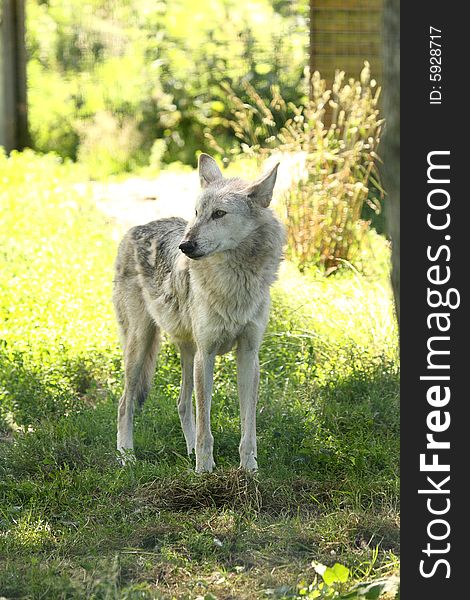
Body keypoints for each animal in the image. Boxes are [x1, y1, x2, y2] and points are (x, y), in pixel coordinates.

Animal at [112, 156, 284, 474]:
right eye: (196, 213)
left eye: (219, 214)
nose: (185, 245)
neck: (235, 281)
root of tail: (136, 227)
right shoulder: (207, 353)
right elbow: (206, 425)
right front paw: (204, 471)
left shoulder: (248, 355)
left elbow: (248, 427)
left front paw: (249, 470)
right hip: (141, 346)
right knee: (124, 403)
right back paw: (126, 456)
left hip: (187, 351)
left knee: (181, 403)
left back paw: (188, 449)